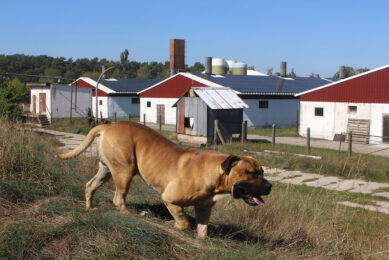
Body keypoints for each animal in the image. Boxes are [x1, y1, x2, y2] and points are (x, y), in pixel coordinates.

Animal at [57, 121, 272, 238]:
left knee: (90, 186)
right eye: (252, 173)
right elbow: (183, 222)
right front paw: (173, 226)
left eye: (262, 171)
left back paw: (89, 207)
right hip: (125, 171)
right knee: (118, 199)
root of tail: (109, 125)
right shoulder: (170, 199)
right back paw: (131, 215)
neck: (215, 174)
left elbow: (202, 231)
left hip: (107, 170)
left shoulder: (204, 209)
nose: (270, 185)